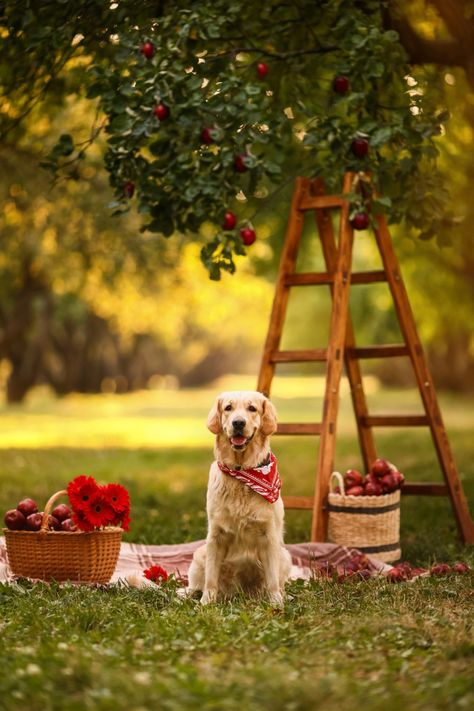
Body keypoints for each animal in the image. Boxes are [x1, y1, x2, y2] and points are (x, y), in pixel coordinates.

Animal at [186, 390, 290, 608]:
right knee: (192, 585)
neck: (242, 473)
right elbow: (211, 578)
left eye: (252, 408)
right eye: (228, 408)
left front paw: (276, 602)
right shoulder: (215, 535)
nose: (238, 423)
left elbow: (272, 579)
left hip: (285, 555)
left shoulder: (269, 535)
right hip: (200, 553)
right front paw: (206, 602)